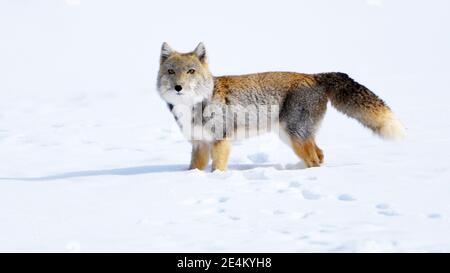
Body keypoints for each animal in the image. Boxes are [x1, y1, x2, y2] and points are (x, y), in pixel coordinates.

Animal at [156, 42, 406, 170]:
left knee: (315, 160)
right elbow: (194, 169)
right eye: (171, 71)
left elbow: (218, 168)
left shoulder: (220, 141)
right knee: (320, 155)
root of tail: (314, 76)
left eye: (191, 71)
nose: (178, 87)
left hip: (295, 137)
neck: (194, 105)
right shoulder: (199, 144)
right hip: (291, 137)